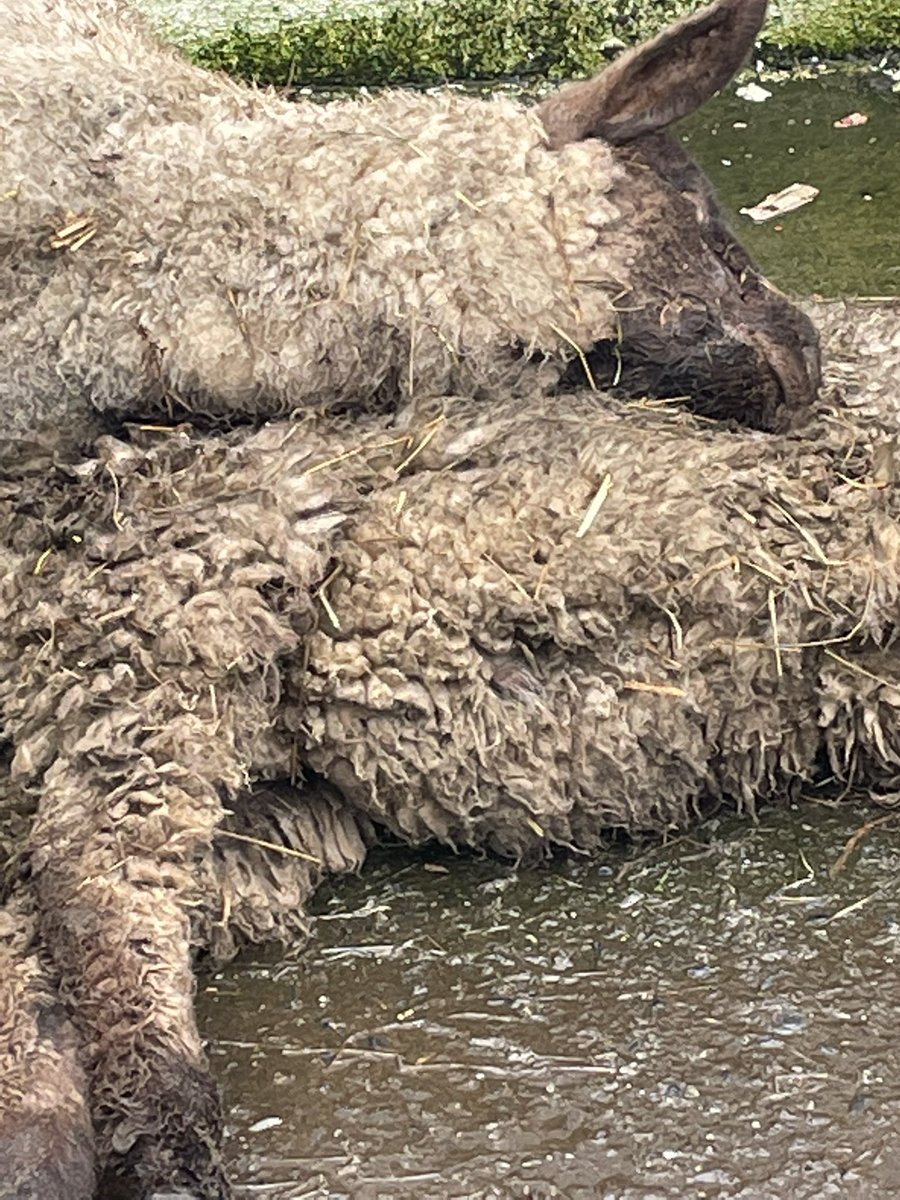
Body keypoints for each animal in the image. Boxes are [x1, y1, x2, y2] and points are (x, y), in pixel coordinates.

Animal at [0, 300, 898, 1199]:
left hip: (270, 794)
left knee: (50, 925)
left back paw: (51, 1135)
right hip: (180, 608)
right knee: (98, 880)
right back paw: (163, 1139)